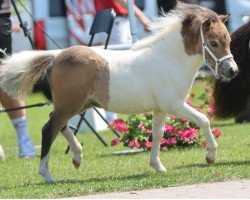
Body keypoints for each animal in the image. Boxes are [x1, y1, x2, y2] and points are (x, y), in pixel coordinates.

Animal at [0, 2, 238, 182]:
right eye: (213, 42)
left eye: (228, 40)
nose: (232, 70)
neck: (169, 59)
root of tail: (57, 56)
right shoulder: (175, 104)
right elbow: (204, 119)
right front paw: (210, 155)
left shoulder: (161, 109)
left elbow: (158, 133)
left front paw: (158, 166)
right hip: (70, 105)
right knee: (49, 129)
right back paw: (48, 175)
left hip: (77, 105)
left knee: (60, 125)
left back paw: (77, 158)